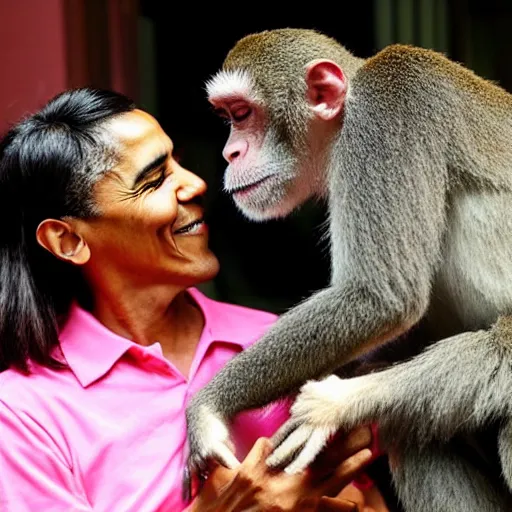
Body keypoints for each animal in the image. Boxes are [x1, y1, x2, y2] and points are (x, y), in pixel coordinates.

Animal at [184, 29, 512, 512]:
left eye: (242, 114)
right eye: (227, 117)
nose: (230, 152)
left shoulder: (388, 111)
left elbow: (379, 297)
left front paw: (209, 404)